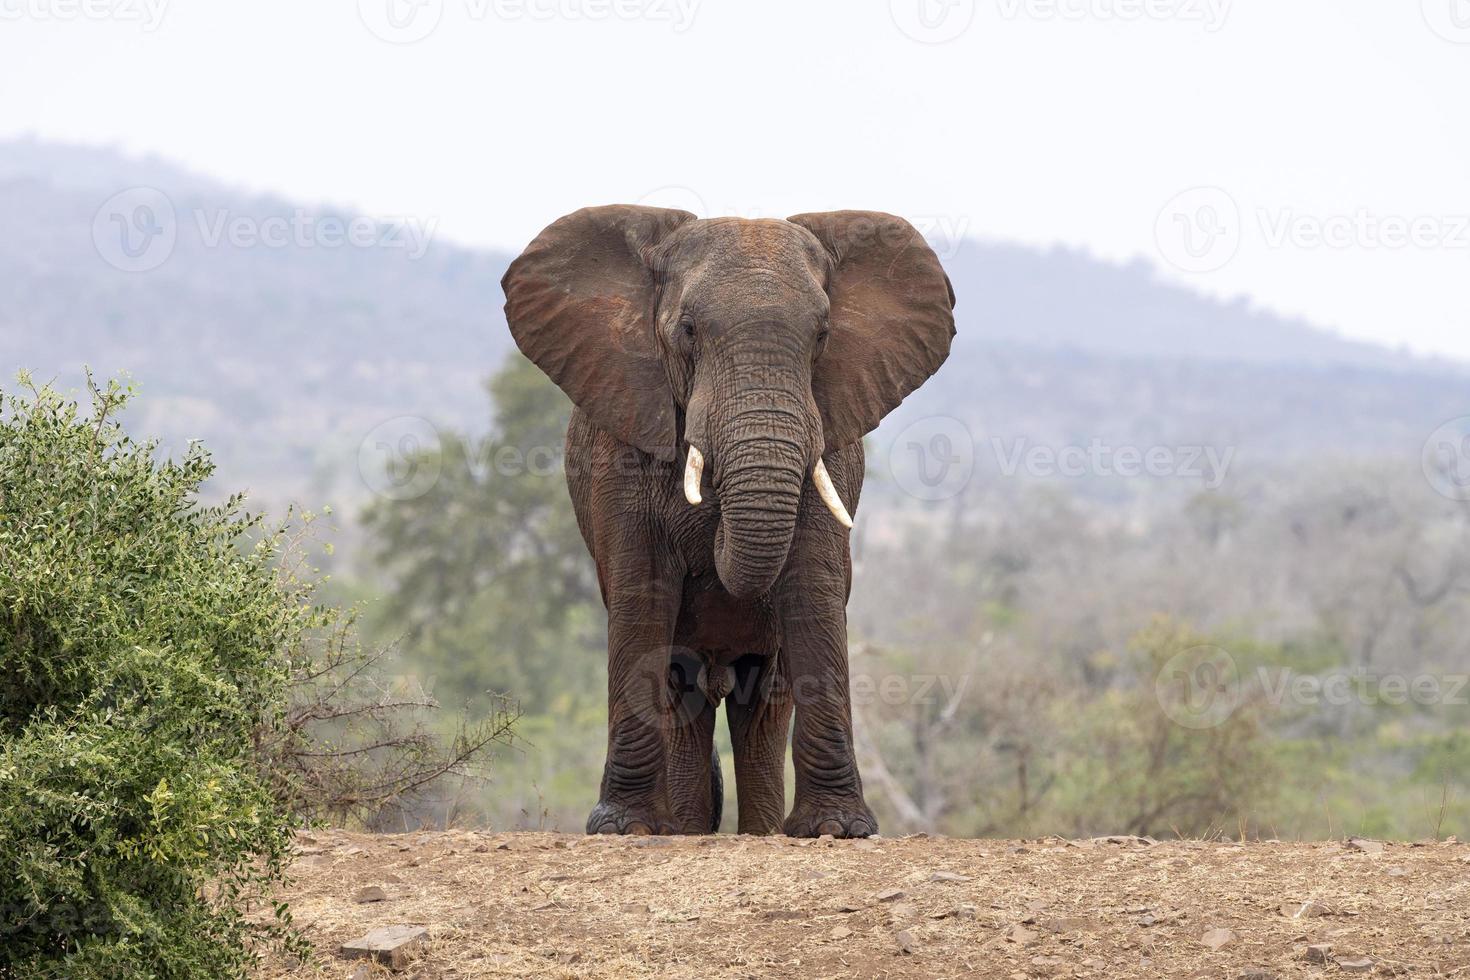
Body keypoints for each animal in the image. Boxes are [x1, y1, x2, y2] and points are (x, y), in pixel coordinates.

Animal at [502, 205, 952, 834]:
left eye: (823, 335)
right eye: (688, 331)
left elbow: (811, 587)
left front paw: (837, 830)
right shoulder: (623, 444)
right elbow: (642, 594)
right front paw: (625, 829)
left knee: (762, 702)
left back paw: (759, 832)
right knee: (683, 694)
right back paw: (686, 830)